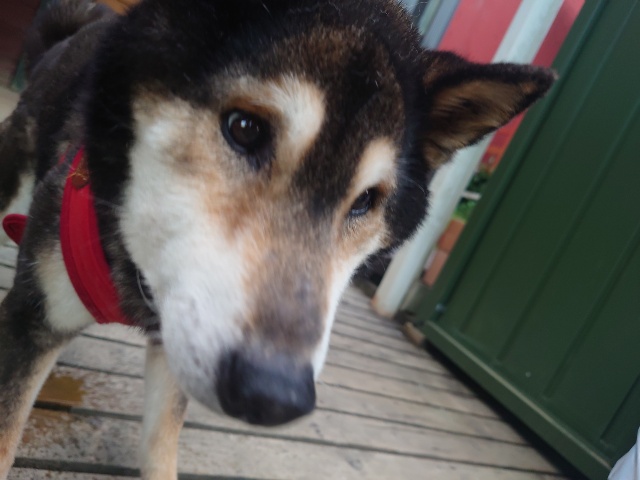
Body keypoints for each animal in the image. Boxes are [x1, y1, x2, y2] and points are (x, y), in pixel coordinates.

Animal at [0, 0, 555, 478]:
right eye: (244, 128)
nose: (274, 395)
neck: (144, 277)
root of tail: (82, 28)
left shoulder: (179, 344)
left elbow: (160, 447)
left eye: (365, 201)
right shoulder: (33, 321)